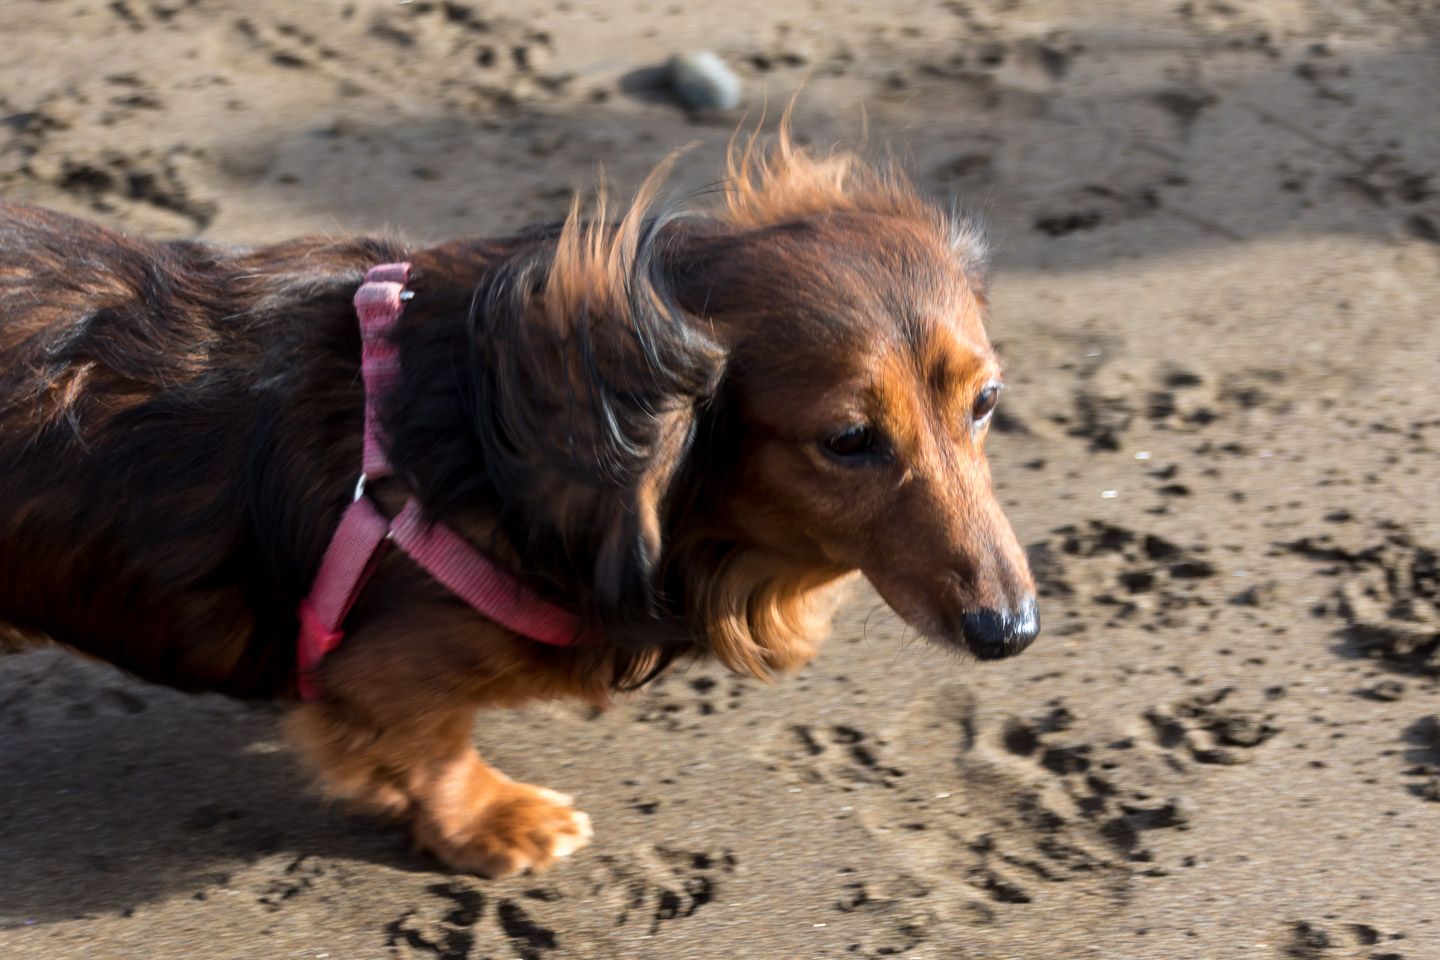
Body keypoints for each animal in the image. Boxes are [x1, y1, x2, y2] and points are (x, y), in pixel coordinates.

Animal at [0, 133, 1036, 880]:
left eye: (985, 401)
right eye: (849, 440)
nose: (1011, 630)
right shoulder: (382, 665)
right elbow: (433, 750)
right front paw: (495, 821)